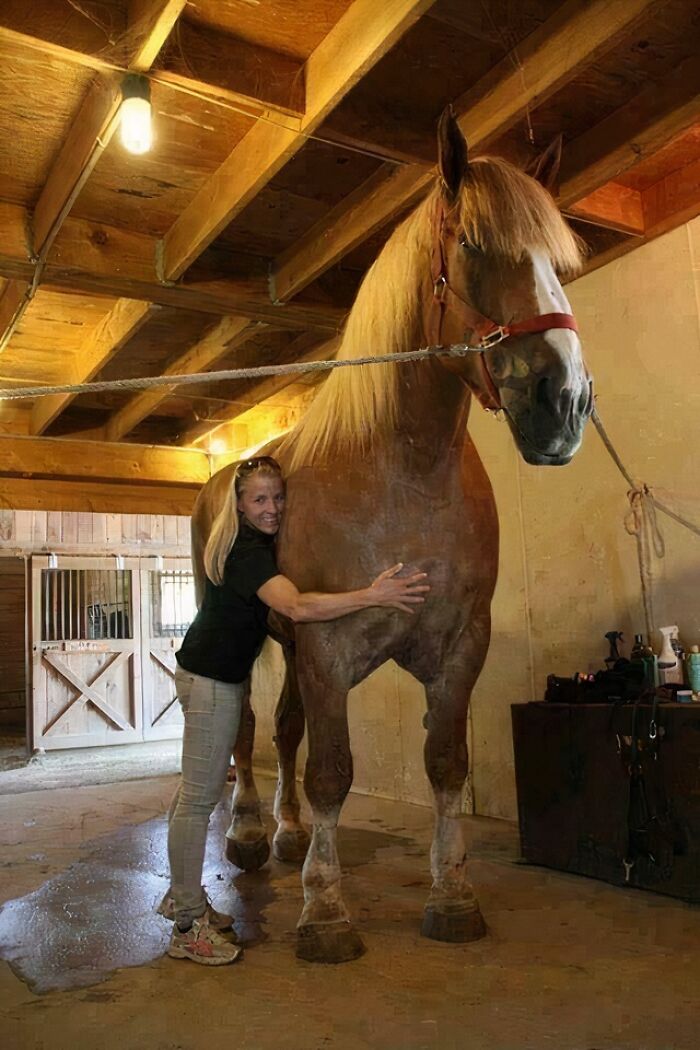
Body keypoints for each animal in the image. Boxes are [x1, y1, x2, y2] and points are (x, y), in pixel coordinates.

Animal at [190, 109, 593, 964]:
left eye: (561, 260)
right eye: (472, 244)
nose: (565, 403)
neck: (405, 472)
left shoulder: (457, 646)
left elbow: (445, 763)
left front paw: (453, 896)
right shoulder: (329, 645)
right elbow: (334, 772)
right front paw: (324, 913)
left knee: (283, 730)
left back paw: (287, 836)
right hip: (246, 633)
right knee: (245, 731)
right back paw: (248, 837)